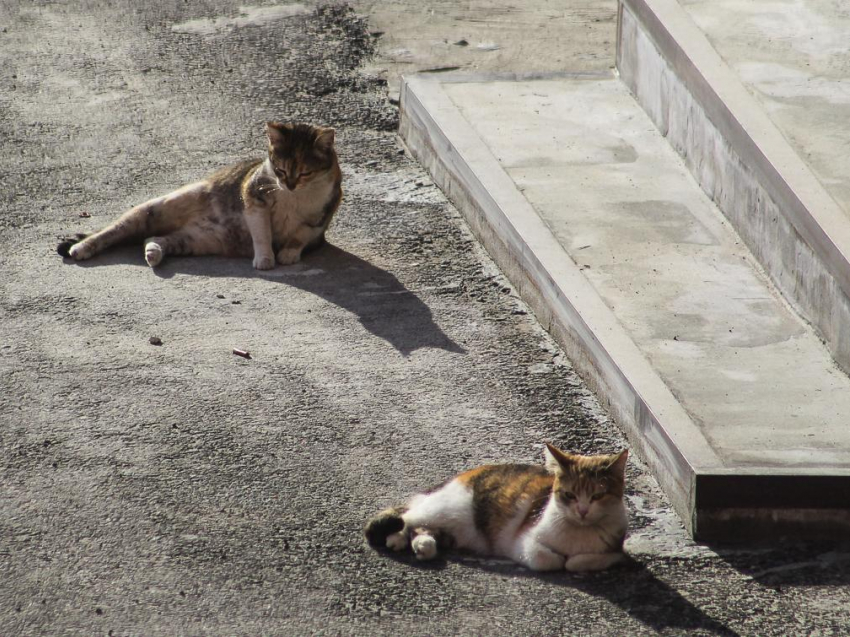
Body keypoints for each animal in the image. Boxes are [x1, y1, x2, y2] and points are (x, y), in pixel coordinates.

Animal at [56, 121, 342, 268]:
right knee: (109, 233)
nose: (289, 185)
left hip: (193, 240)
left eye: (305, 173)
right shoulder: (253, 196)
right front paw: (265, 259)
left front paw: (289, 254)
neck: (294, 197)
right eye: (280, 170)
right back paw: (82, 248)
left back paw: (153, 253)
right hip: (154, 209)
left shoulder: (322, 214)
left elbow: (300, 235)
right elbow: (262, 234)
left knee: (153, 237)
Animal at [362, 442, 628, 572]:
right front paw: (558, 559)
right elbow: (549, 560)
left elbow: (578, 561)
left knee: (422, 527)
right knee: (407, 516)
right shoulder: (522, 541)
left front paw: (574, 560)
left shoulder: (616, 550)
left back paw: (422, 544)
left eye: (598, 495)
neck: (578, 532)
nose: (582, 511)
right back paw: (397, 537)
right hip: (446, 509)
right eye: (569, 495)